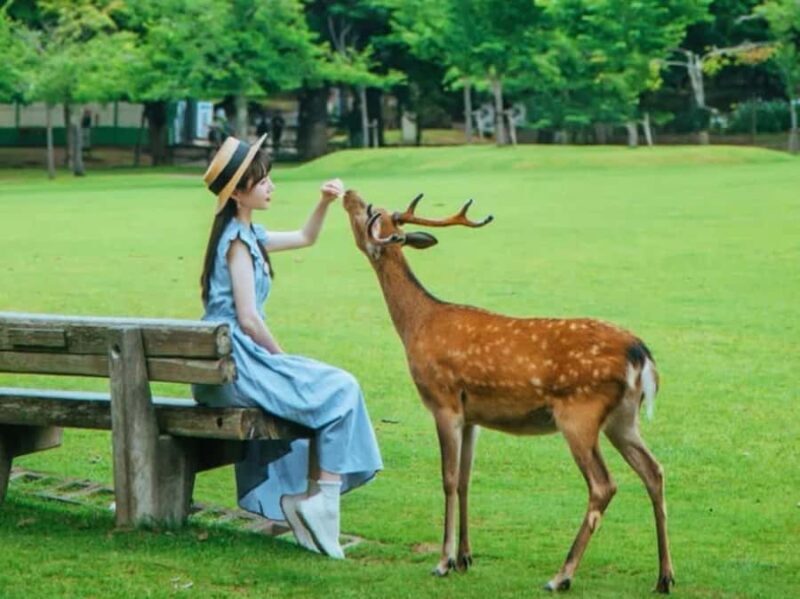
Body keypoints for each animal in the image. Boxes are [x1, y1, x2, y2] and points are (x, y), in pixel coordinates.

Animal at [341, 190, 674, 593]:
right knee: (654, 471)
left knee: (603, 485)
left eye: (368, 211)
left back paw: (561, 576)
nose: (348, 193)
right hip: (623, 419)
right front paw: (465, 558)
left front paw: (443, 561)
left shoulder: (443, 401)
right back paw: (664, 577)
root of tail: (641, 355)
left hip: (579, 414)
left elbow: (448, 479)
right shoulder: (472, 417)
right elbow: (465, 479)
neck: (416, 325)